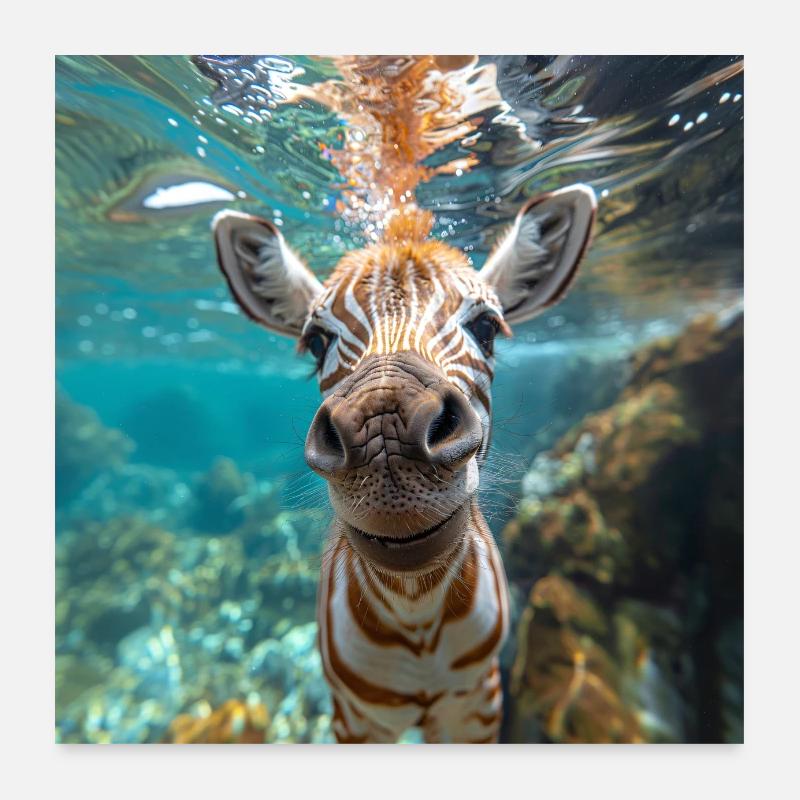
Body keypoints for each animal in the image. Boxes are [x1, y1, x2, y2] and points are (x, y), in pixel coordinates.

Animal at [212, 186, 596, 742]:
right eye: (317, 341)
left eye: (486, 327)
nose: (384, 432)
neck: (418, 611)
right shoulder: (354, 717)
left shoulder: (477, 703)